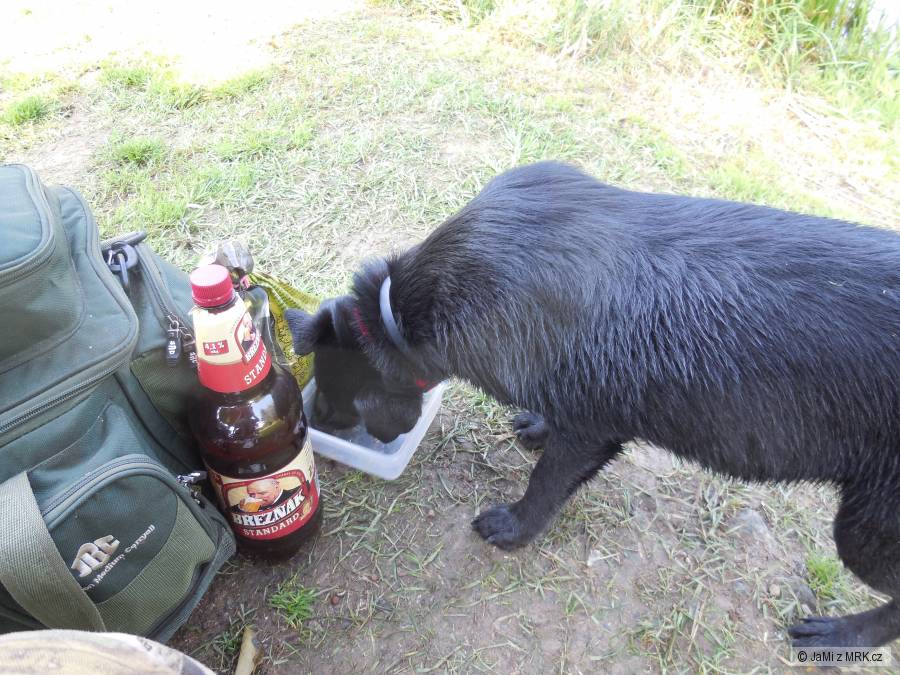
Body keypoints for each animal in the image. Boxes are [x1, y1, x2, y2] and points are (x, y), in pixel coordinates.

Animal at [286, 161, 900, 648]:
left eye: (336, 396)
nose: (314, 425)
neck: (407, 310)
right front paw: (535, 426)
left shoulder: (592, 428)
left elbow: (546, 483)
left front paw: (511, 528)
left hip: (866, 530)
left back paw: (840, 636)